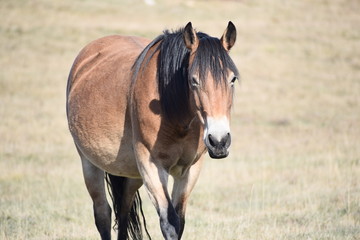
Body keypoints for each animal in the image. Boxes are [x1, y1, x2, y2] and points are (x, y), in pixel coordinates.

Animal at [65, 21, 239, 239]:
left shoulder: (190, 169)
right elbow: (170, 223)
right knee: (103, 214)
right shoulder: (151, 166)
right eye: (193, 80)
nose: (219, 141)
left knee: (123, 209)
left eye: (232, 79)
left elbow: (180, 221)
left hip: (132, 174)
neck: (174, 114)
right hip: (89, 163)